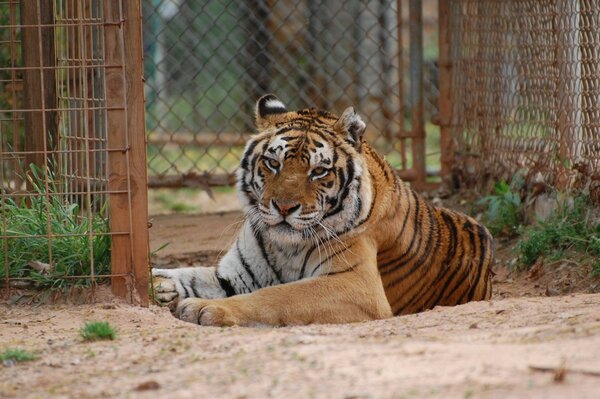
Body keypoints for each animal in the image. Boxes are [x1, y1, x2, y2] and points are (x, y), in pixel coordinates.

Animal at [152, 94, 494, 328]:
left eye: (318, 171)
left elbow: (277, 295)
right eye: (273, 163)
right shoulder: (235, 275)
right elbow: (190, 274)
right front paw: (159, 283)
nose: (284, 207)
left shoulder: (356, 285)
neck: (284, 247)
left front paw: (203, 308)